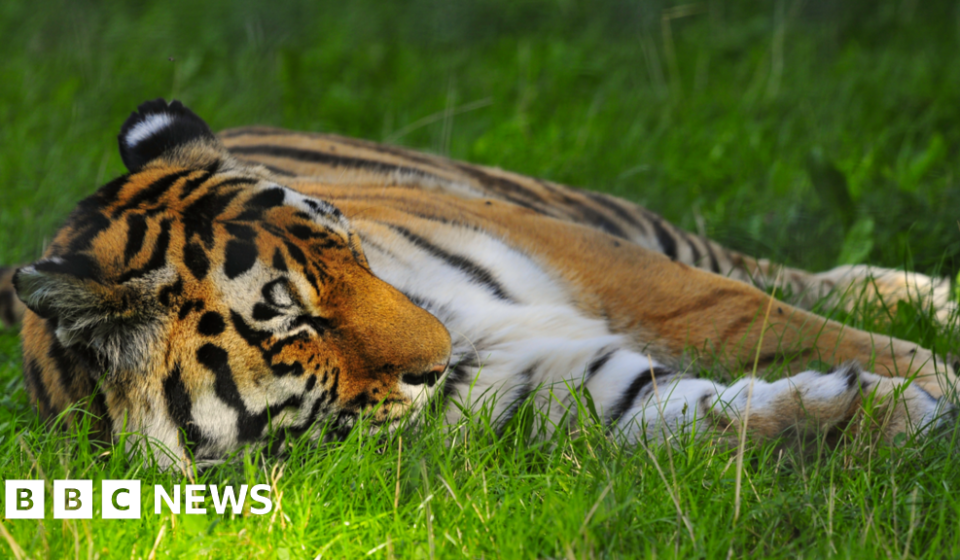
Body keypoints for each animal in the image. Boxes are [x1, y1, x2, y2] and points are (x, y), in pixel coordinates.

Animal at [2, 98, 956, 469]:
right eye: (292, 322)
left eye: (353, 253)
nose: (441, 352)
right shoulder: (559, 389)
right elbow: (702, 418)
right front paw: (888, 412)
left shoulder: (597, 260)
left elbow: (742, 316)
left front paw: (930, 379)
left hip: (597, 214)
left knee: (778, 274)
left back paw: (935, 299)